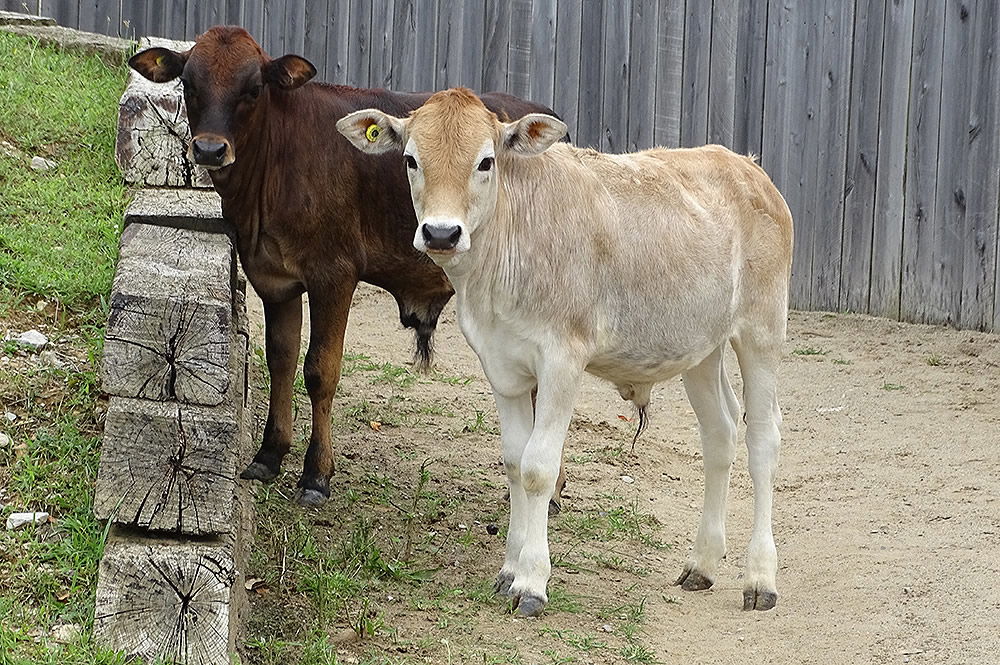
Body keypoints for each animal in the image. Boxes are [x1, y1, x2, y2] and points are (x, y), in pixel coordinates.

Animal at [129, 23, 568, 506]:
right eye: (189, 84)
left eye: (253, 88)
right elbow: (281, 358)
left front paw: (316, 474)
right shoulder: (273, 278)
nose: (209, 149)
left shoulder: (334, 275)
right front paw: (269, 454)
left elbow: (320, 370)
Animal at [340, 88, 792, 616]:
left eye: (486, 161)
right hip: (701, 347)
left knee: (763, 439)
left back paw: (760, 577)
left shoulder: (562, 360)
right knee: (720, 433)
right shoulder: (500, 365)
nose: (441, 233)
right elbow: (515, 462)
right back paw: (701, 564)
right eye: (411, 159)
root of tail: (746, 166)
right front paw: (508, 570)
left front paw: (532, 581)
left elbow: (539, 466)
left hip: (763, 330)